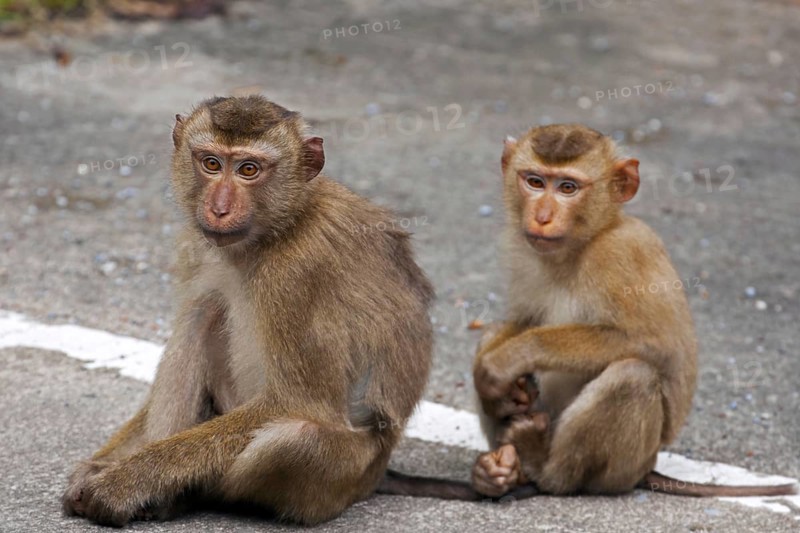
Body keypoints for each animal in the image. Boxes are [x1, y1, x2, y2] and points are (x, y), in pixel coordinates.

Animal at [61, 95, 448, 527]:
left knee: (294, 438)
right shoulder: (196, 248)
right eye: (211, 163)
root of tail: (379, 472)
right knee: (203, 312)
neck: (277, 229)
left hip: (344, 478)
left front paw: (122, 483)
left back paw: (181, 496)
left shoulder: (296, 274)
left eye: (249, 170)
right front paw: (99, 467)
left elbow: (297, 404)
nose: (219, 208)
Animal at [470, 124, 798, 499]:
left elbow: (652, 343)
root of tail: (647, 468)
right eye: (535, 182)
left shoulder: (621, 255)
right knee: (493, 332)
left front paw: (509, 360)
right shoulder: (522, 251)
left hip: (624, 466)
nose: (542, 217)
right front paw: (497, 388)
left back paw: (543, 467)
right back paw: (501, 473)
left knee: (633, 376)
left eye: (568, 187)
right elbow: (523, 320)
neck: (581, 246)